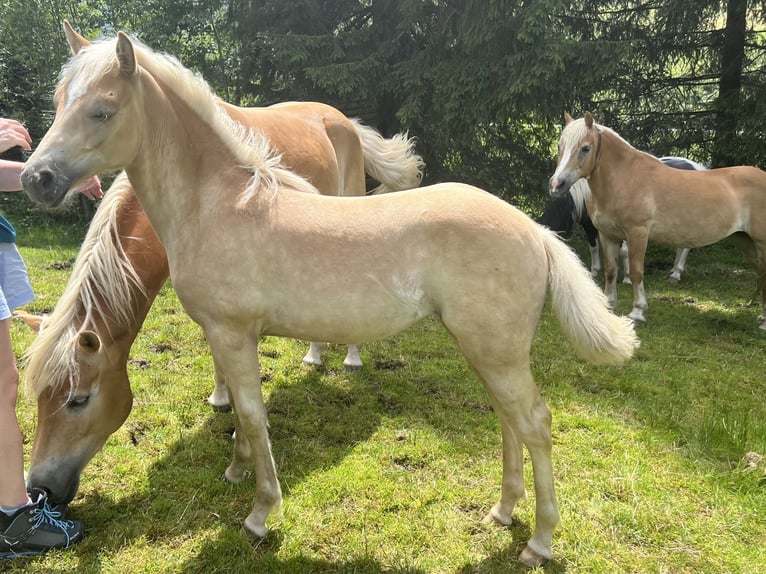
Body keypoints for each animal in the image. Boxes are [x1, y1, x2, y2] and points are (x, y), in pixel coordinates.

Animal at [20, 27, 638, 567]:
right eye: (59, 101)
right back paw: (503, 513)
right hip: (490, 352)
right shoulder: (225, 336)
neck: (219, 202)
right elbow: (239, 412)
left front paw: (260, 513)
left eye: (102, 110)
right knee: (510, 423)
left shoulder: (231, 333)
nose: (35, 178)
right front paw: (237, 471)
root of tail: (534, 230)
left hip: (498, 352)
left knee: (534, 423)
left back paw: (540, 540)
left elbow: (253, 414)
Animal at [538, 156, 706, 282]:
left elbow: (624, 251)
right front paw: (594, 272)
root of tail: (698, 168)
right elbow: (593, 247)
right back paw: (674, 270)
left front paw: (626, 278)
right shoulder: (590, 225)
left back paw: (676, 274)